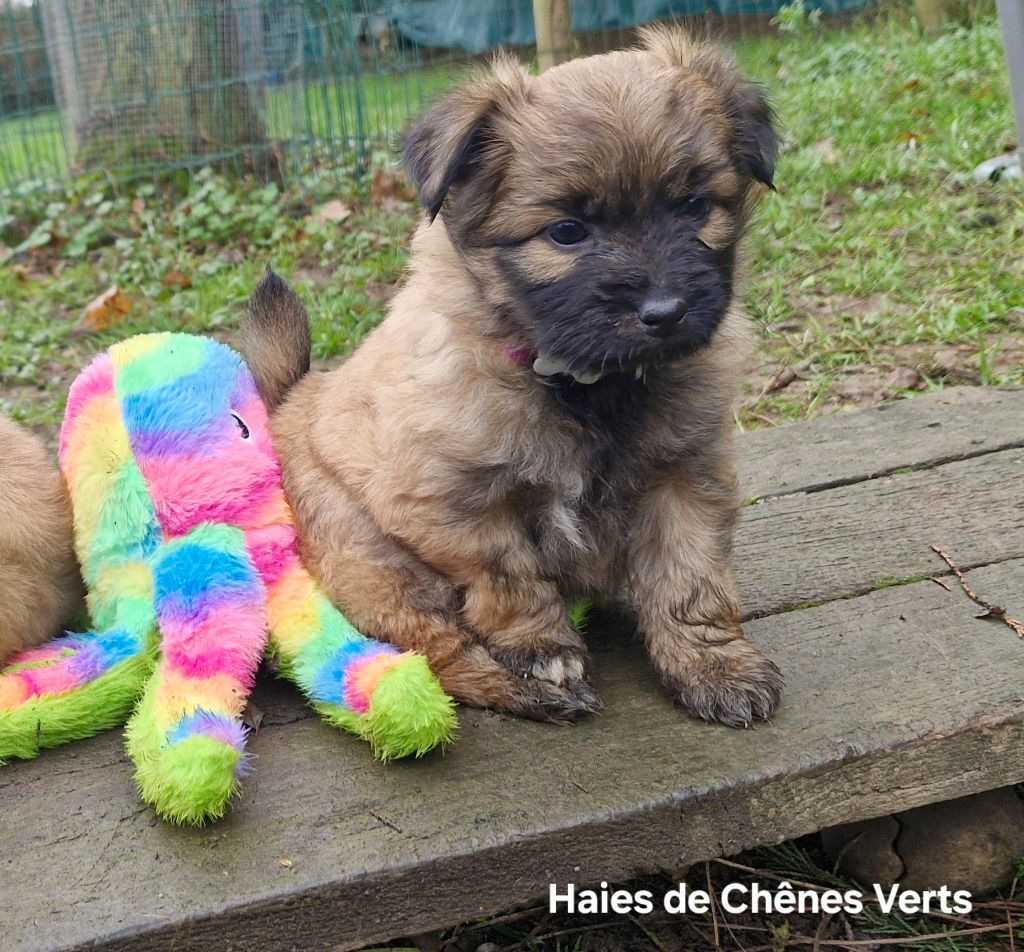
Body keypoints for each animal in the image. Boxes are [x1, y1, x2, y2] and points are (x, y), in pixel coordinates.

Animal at [245, 27, 782, 728]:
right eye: (567, 232)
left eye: (694, 207)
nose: (665, 312)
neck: (586, 384)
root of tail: (288, 402)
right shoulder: (452, 502)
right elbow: (510, 577)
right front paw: (544, 652)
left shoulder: (685, 476)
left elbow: (690, 580)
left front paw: (712, 665)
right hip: (374, 561)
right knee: (438, 653)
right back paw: (522, 691)